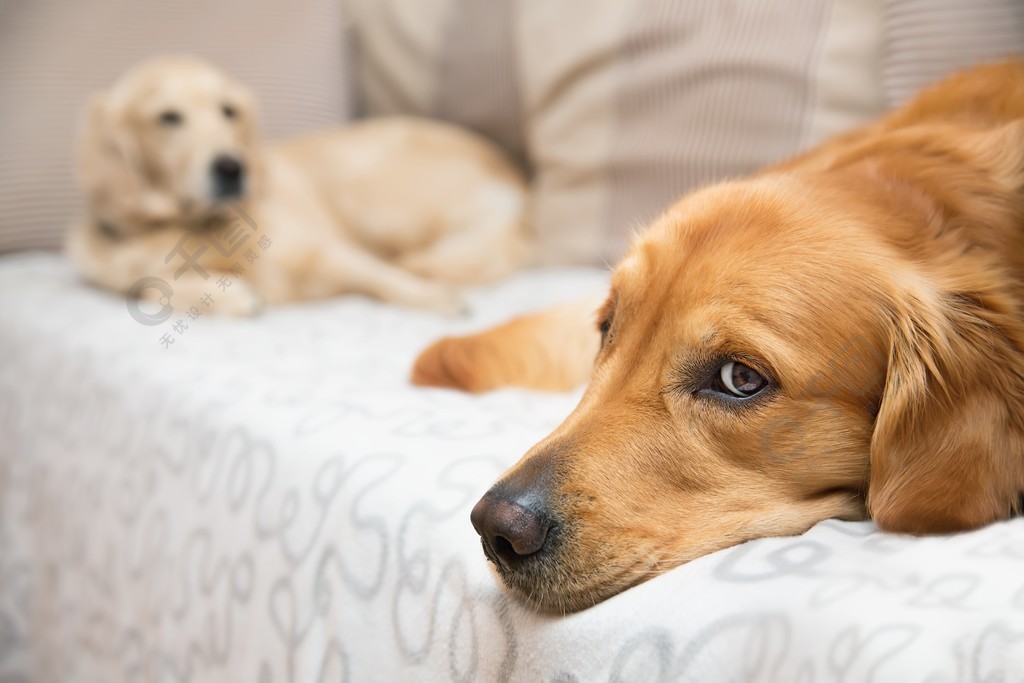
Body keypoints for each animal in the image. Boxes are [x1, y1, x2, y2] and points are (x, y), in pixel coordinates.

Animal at [66, 57, 528, 317]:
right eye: (168, 118)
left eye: (228, 110)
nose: (233, 167)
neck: (200, 231)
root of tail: (512, 174)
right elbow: (146, 287)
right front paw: (229, 295)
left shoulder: (329, 251)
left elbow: (382, 275)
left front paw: (436, 298)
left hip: (365, 193)